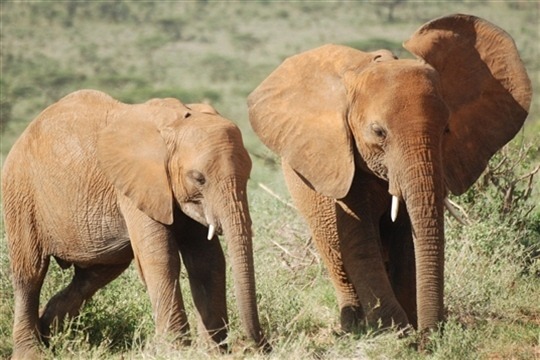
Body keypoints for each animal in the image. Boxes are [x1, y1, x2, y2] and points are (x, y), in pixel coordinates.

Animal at [1, 88, 268, 358]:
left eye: (248, 176)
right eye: (198, 178)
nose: (260, 345)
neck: (174, 125)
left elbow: (207, 260)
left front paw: (213, 352)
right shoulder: (135, 186)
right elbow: (161, 259)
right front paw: (175, 350)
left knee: (95, 274)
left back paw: (50, 333)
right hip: (20, 195)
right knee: (30, 274)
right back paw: (32, 351)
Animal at [248, 14, 532, 338]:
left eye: (447, 129)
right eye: (378, 132)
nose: (432, 333)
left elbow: (406, 241)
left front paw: (412, 325)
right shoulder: (343, 158)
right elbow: (360, 240)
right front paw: (396, 330)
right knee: (334, 252)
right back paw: (353, 327)